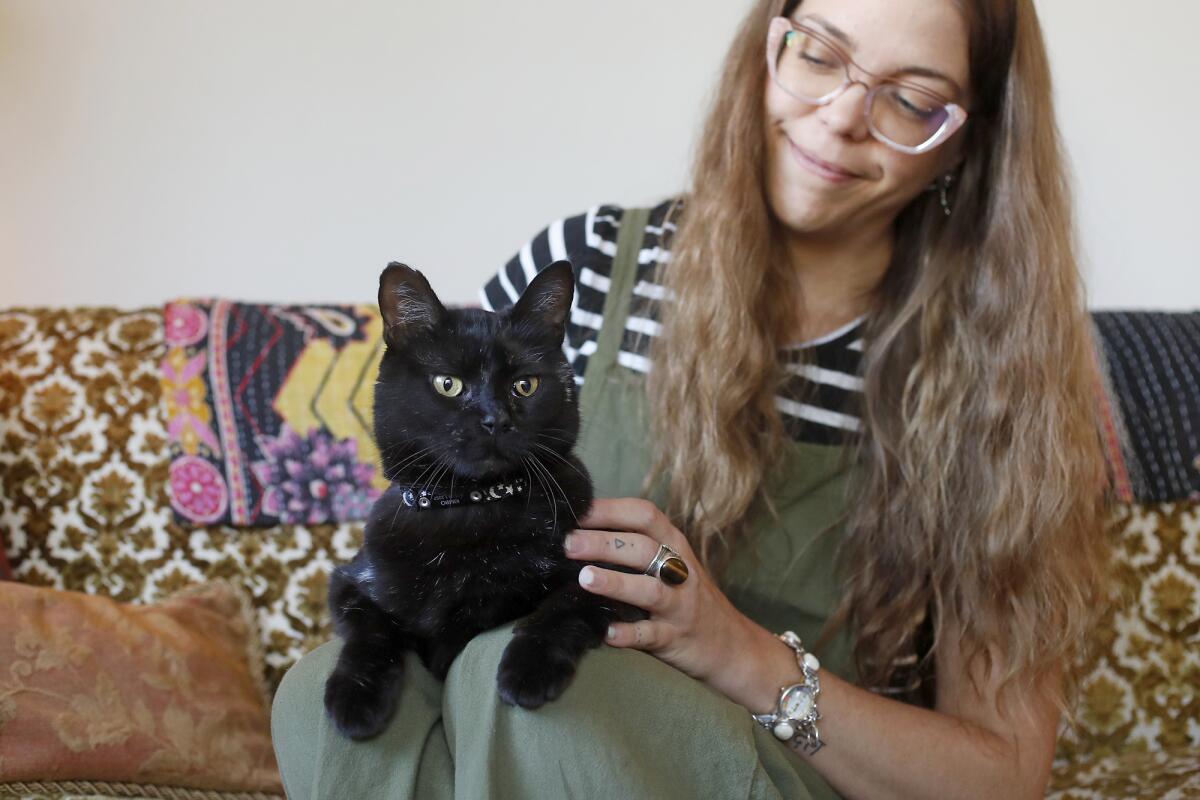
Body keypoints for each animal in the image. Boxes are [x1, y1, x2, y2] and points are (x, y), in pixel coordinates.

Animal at [324, 260, 648, 743]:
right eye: (448, 384)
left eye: (525, 385)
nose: (495, 419)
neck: (471, 506)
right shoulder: (349, 579)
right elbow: (370, 630)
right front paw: (355, 697)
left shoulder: (620, 570)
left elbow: (567, 603)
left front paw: (528, 670)